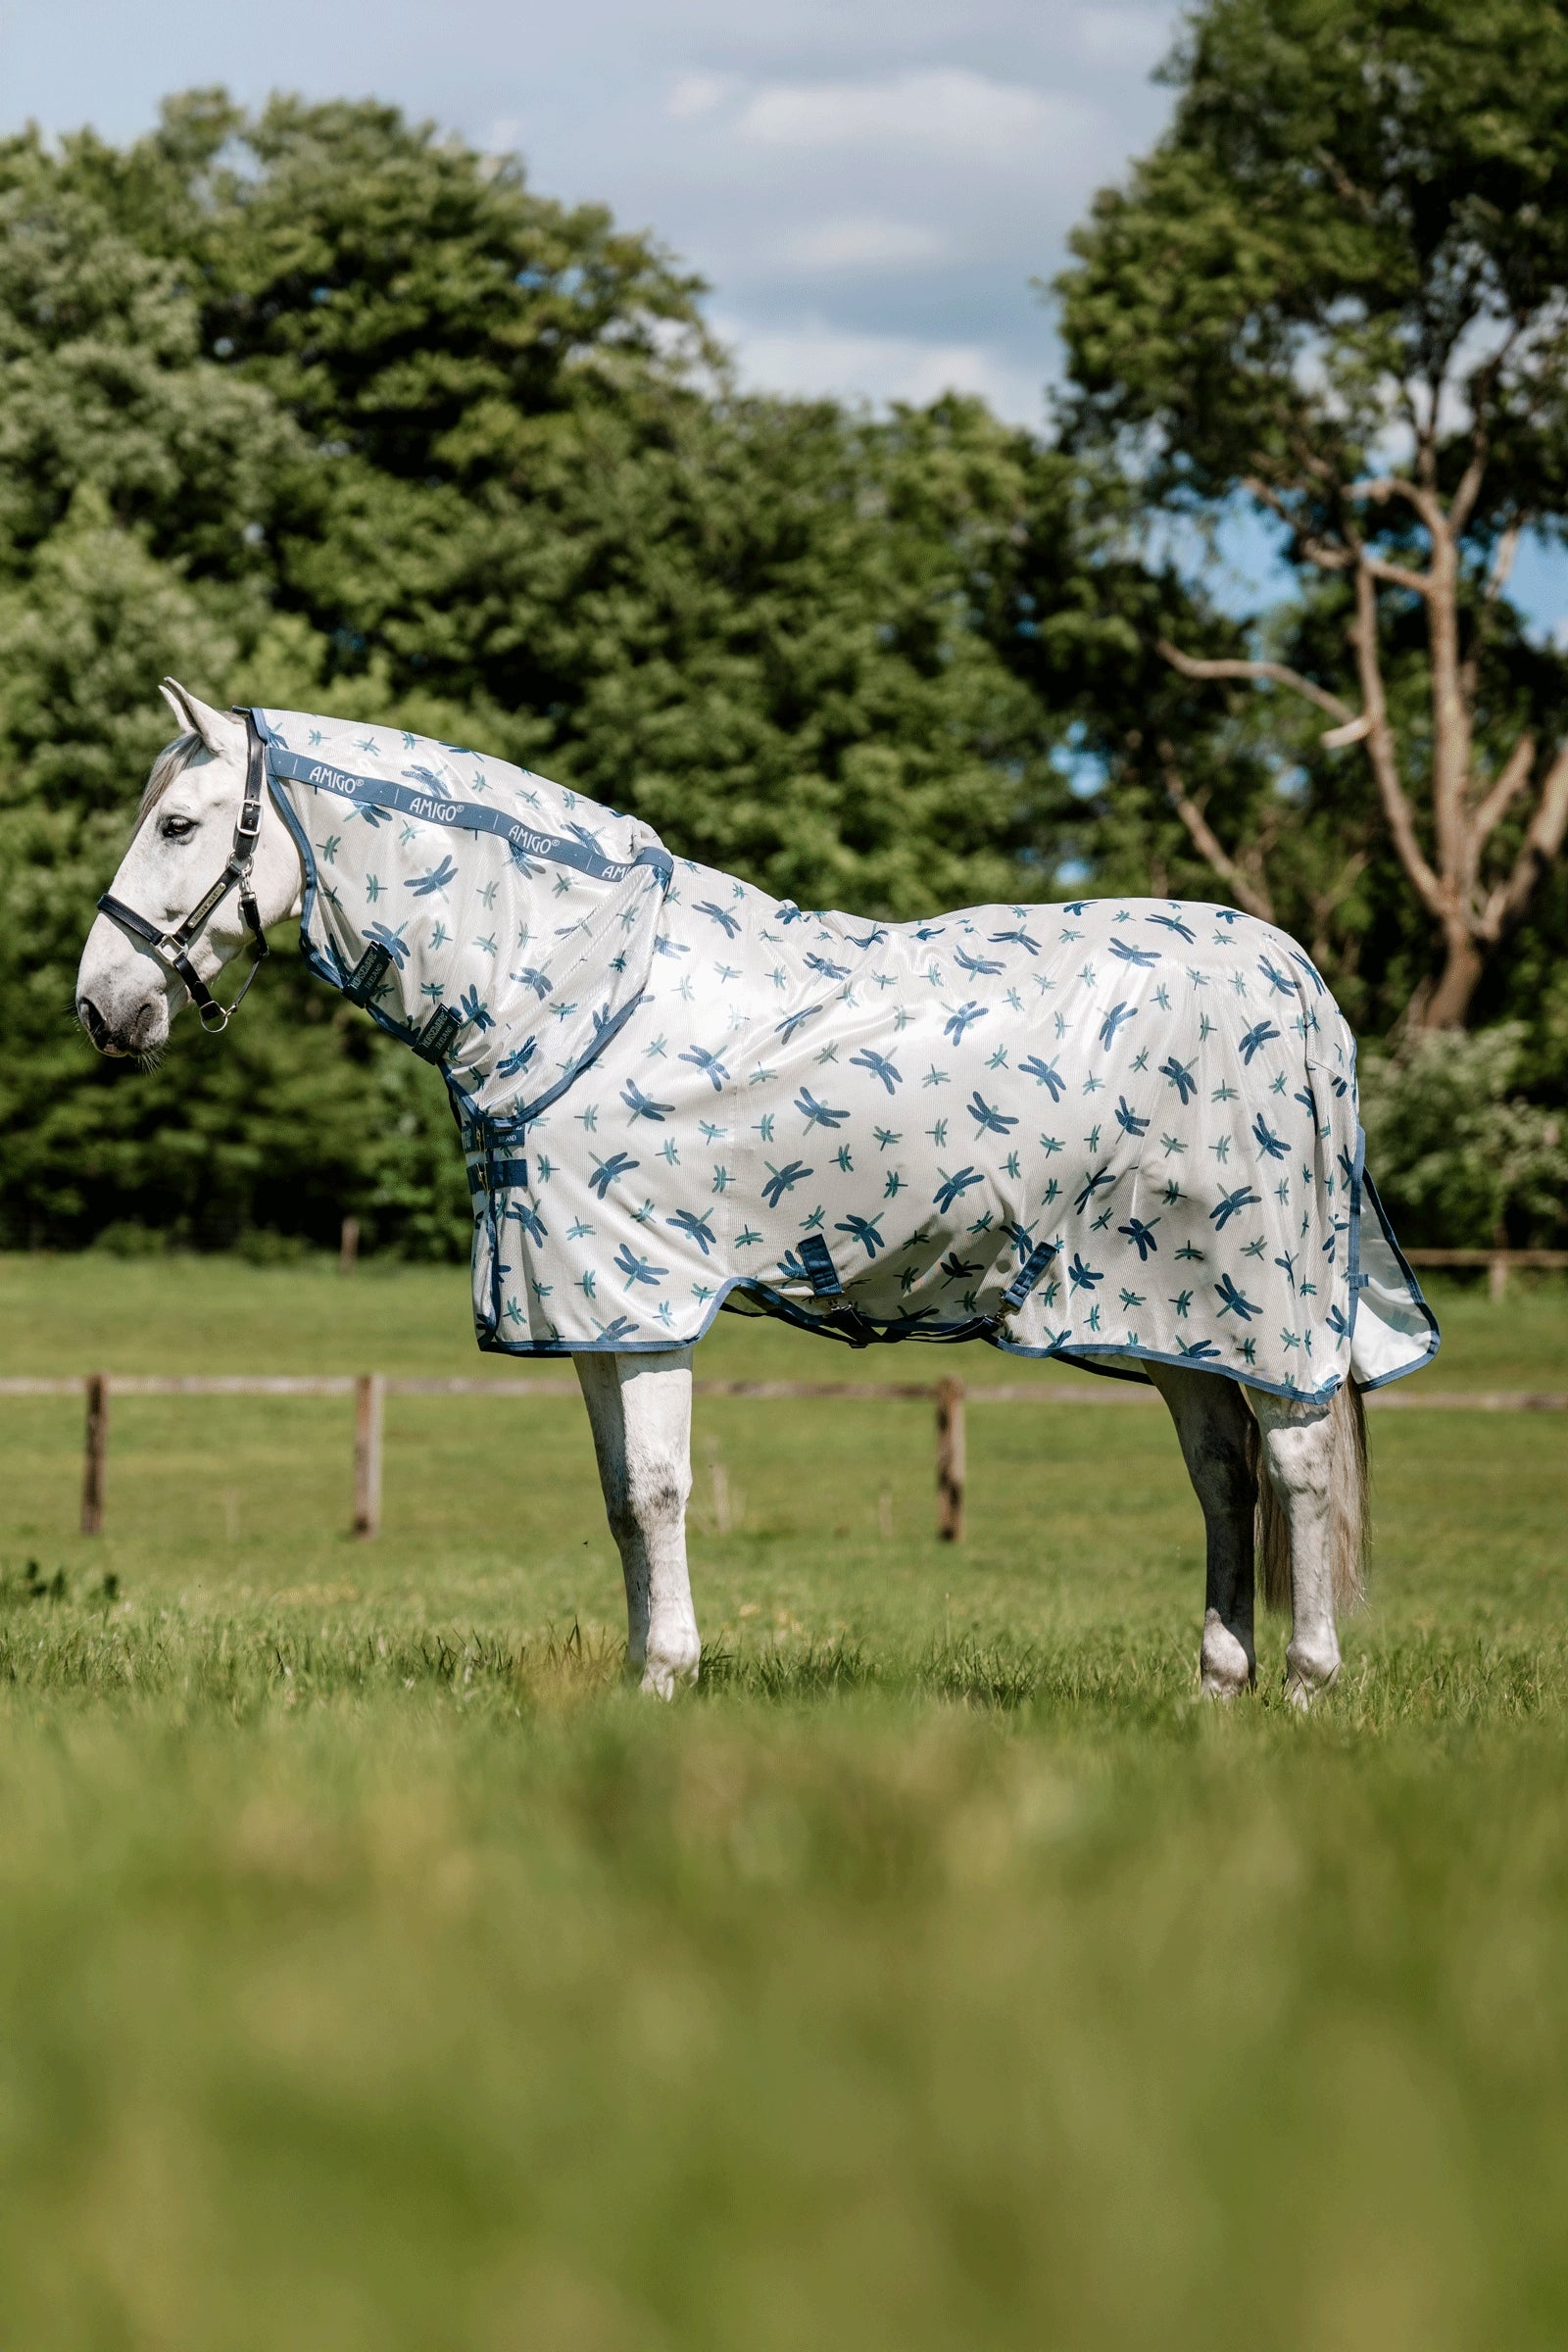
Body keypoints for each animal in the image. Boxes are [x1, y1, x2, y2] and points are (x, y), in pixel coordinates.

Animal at [76, 682, 1438, 1703]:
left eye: (181, 827)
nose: (102, 1006)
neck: (582, 990)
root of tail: (1293, 973)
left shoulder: (643, 1299)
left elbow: (659, 1489)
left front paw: (666, 1675)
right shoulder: (590, 1315)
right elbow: (621, 1501)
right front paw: (643, 1676)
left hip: (1257, 1302)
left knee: (1298, 1468)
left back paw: (1306, 1686)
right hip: (1169, 1316)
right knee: (1223, 1479)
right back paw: (1216, 1687)